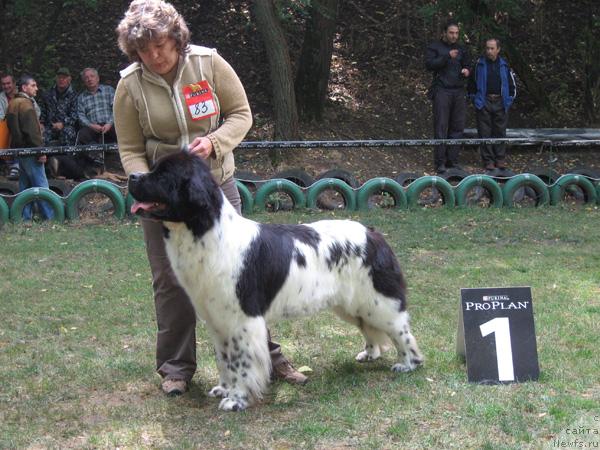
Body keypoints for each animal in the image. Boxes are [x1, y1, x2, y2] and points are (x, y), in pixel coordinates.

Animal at [129, 153, 424, 414]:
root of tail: (374, 234)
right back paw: (370, 354)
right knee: (370, 328)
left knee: (401, 331)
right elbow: (224, 359)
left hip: (378, 300)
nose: (132, 176)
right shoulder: (217, 319)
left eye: (163, 175)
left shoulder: (242, 320)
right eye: (153, 168)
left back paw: (409, 364)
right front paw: (224, 389)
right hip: (352, 305)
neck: (208, 232)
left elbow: (241, 362)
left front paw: (236, 399)